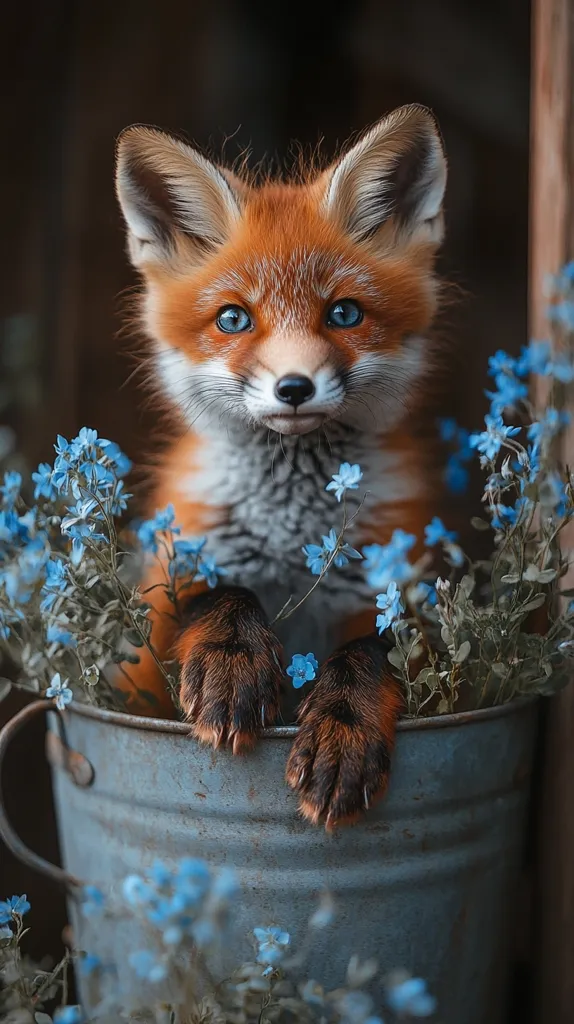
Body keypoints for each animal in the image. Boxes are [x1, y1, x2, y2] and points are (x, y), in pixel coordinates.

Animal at [115, 104, 448, 830]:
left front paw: (342, 726)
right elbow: (219, 596)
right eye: (233, 319)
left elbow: (366, 654)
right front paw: (233, 660)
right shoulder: (168, 584)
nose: (294, 387)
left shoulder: (391, 593)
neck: (293, 537)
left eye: (344, 313)